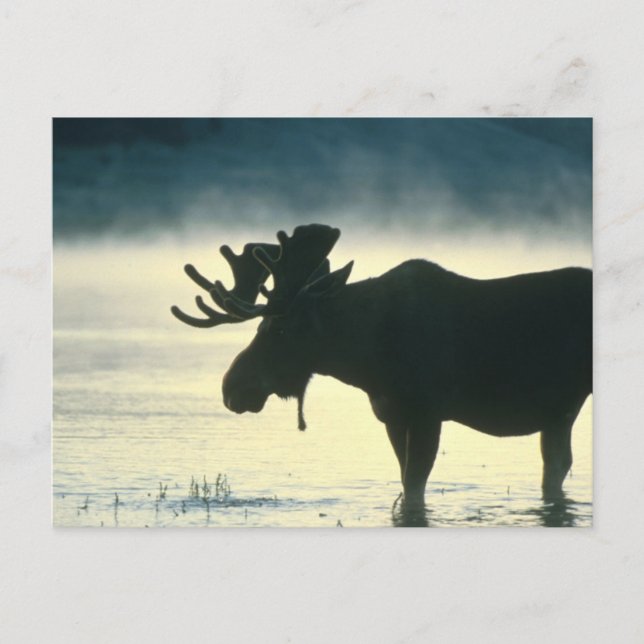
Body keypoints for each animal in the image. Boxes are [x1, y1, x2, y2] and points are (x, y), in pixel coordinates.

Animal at [172, 224, 592, 506]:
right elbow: (405, 483)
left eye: (279, 328)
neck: (365, 357)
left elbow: (415, 486)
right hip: (560, 412)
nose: (232, 387)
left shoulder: (427, 411)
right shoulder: (392, 416)